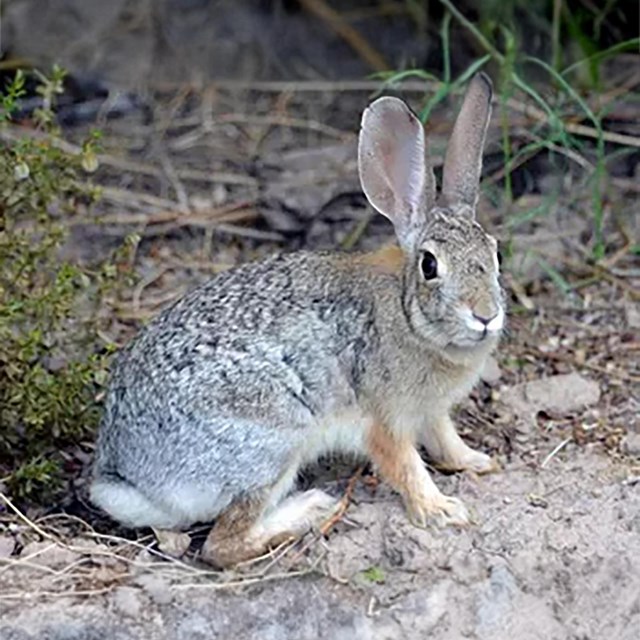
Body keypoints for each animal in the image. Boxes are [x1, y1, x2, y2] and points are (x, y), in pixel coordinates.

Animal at [90, 72, 504, 568]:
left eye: (496, 253)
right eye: (429, 265)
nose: (486, 315)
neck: (410, 318)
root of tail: (129, 478)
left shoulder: (431, 412)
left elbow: (444, 438)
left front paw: (477, 461)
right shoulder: (385, 420)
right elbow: (405, 466)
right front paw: (441, 509)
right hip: (273, 443)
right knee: (222, 544)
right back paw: (308, 510)